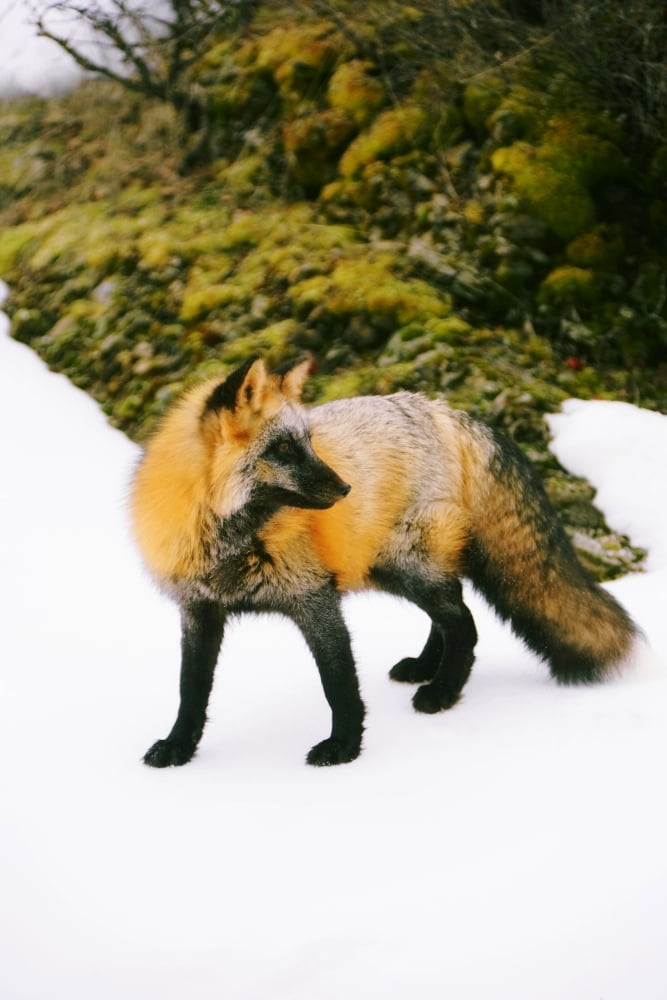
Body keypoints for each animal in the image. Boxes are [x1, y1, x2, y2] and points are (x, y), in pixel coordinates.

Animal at [130, 354, 639, 768]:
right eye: (282, 450)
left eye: (309, 442)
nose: (345, 489)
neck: (231, 541)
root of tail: (448, 412)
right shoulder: (199, 610)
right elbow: (190, 690)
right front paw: (179, 747)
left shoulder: (315, 599)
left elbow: (339, 685)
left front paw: (344, 748)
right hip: (398, 567)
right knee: (452, 613)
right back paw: (425, 667)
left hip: (405, 565)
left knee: (464, 623)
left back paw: (442, 692)